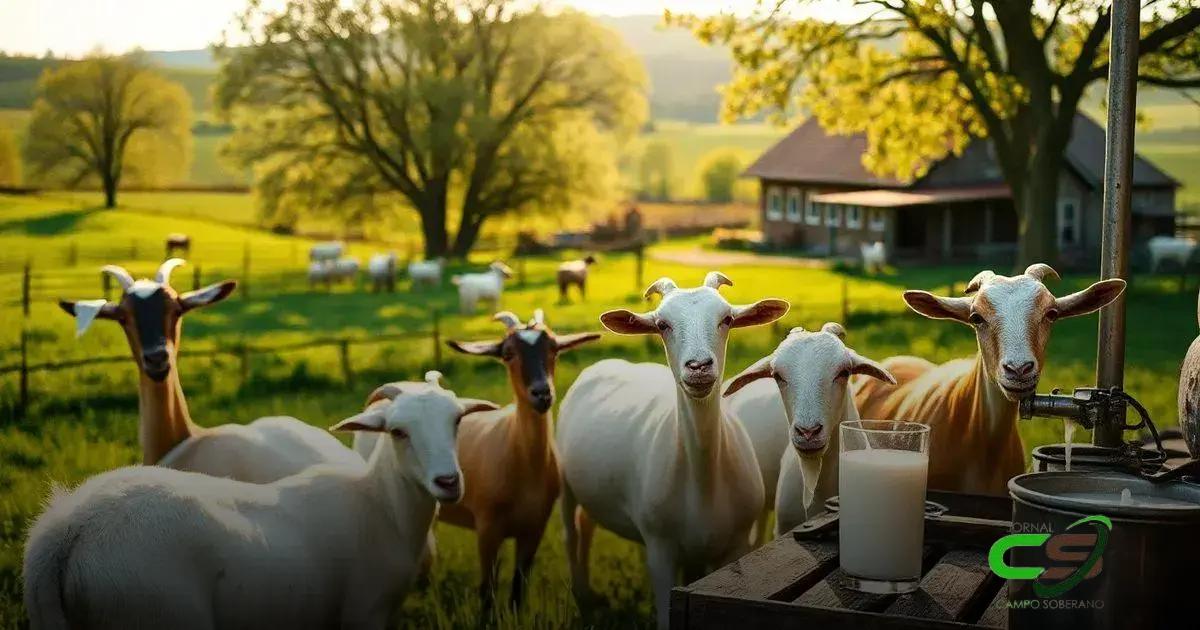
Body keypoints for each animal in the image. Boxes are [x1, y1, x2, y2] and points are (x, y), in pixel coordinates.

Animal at [23, 372, 499, 630]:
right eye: (398, 432)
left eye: (457, 421)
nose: (448, 481)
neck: (380, 506)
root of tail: (67, 532)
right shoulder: (364, 612)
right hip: (153, 610)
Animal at [358, 310, 600, 610]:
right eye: (508, 353)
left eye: (554, 348)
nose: (542, 394)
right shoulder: (487, 528)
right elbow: (487, 591)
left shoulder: (534, 529)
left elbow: (518, 591)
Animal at [557, 272, 788, 628]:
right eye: (662, 324)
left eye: (727, 319)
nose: (699, 366)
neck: (704, 479)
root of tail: (602, 364)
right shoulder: (660, 549)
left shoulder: (733, 547)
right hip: (565, 480)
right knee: (571, 534)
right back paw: (581, 594)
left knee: (587, 525)